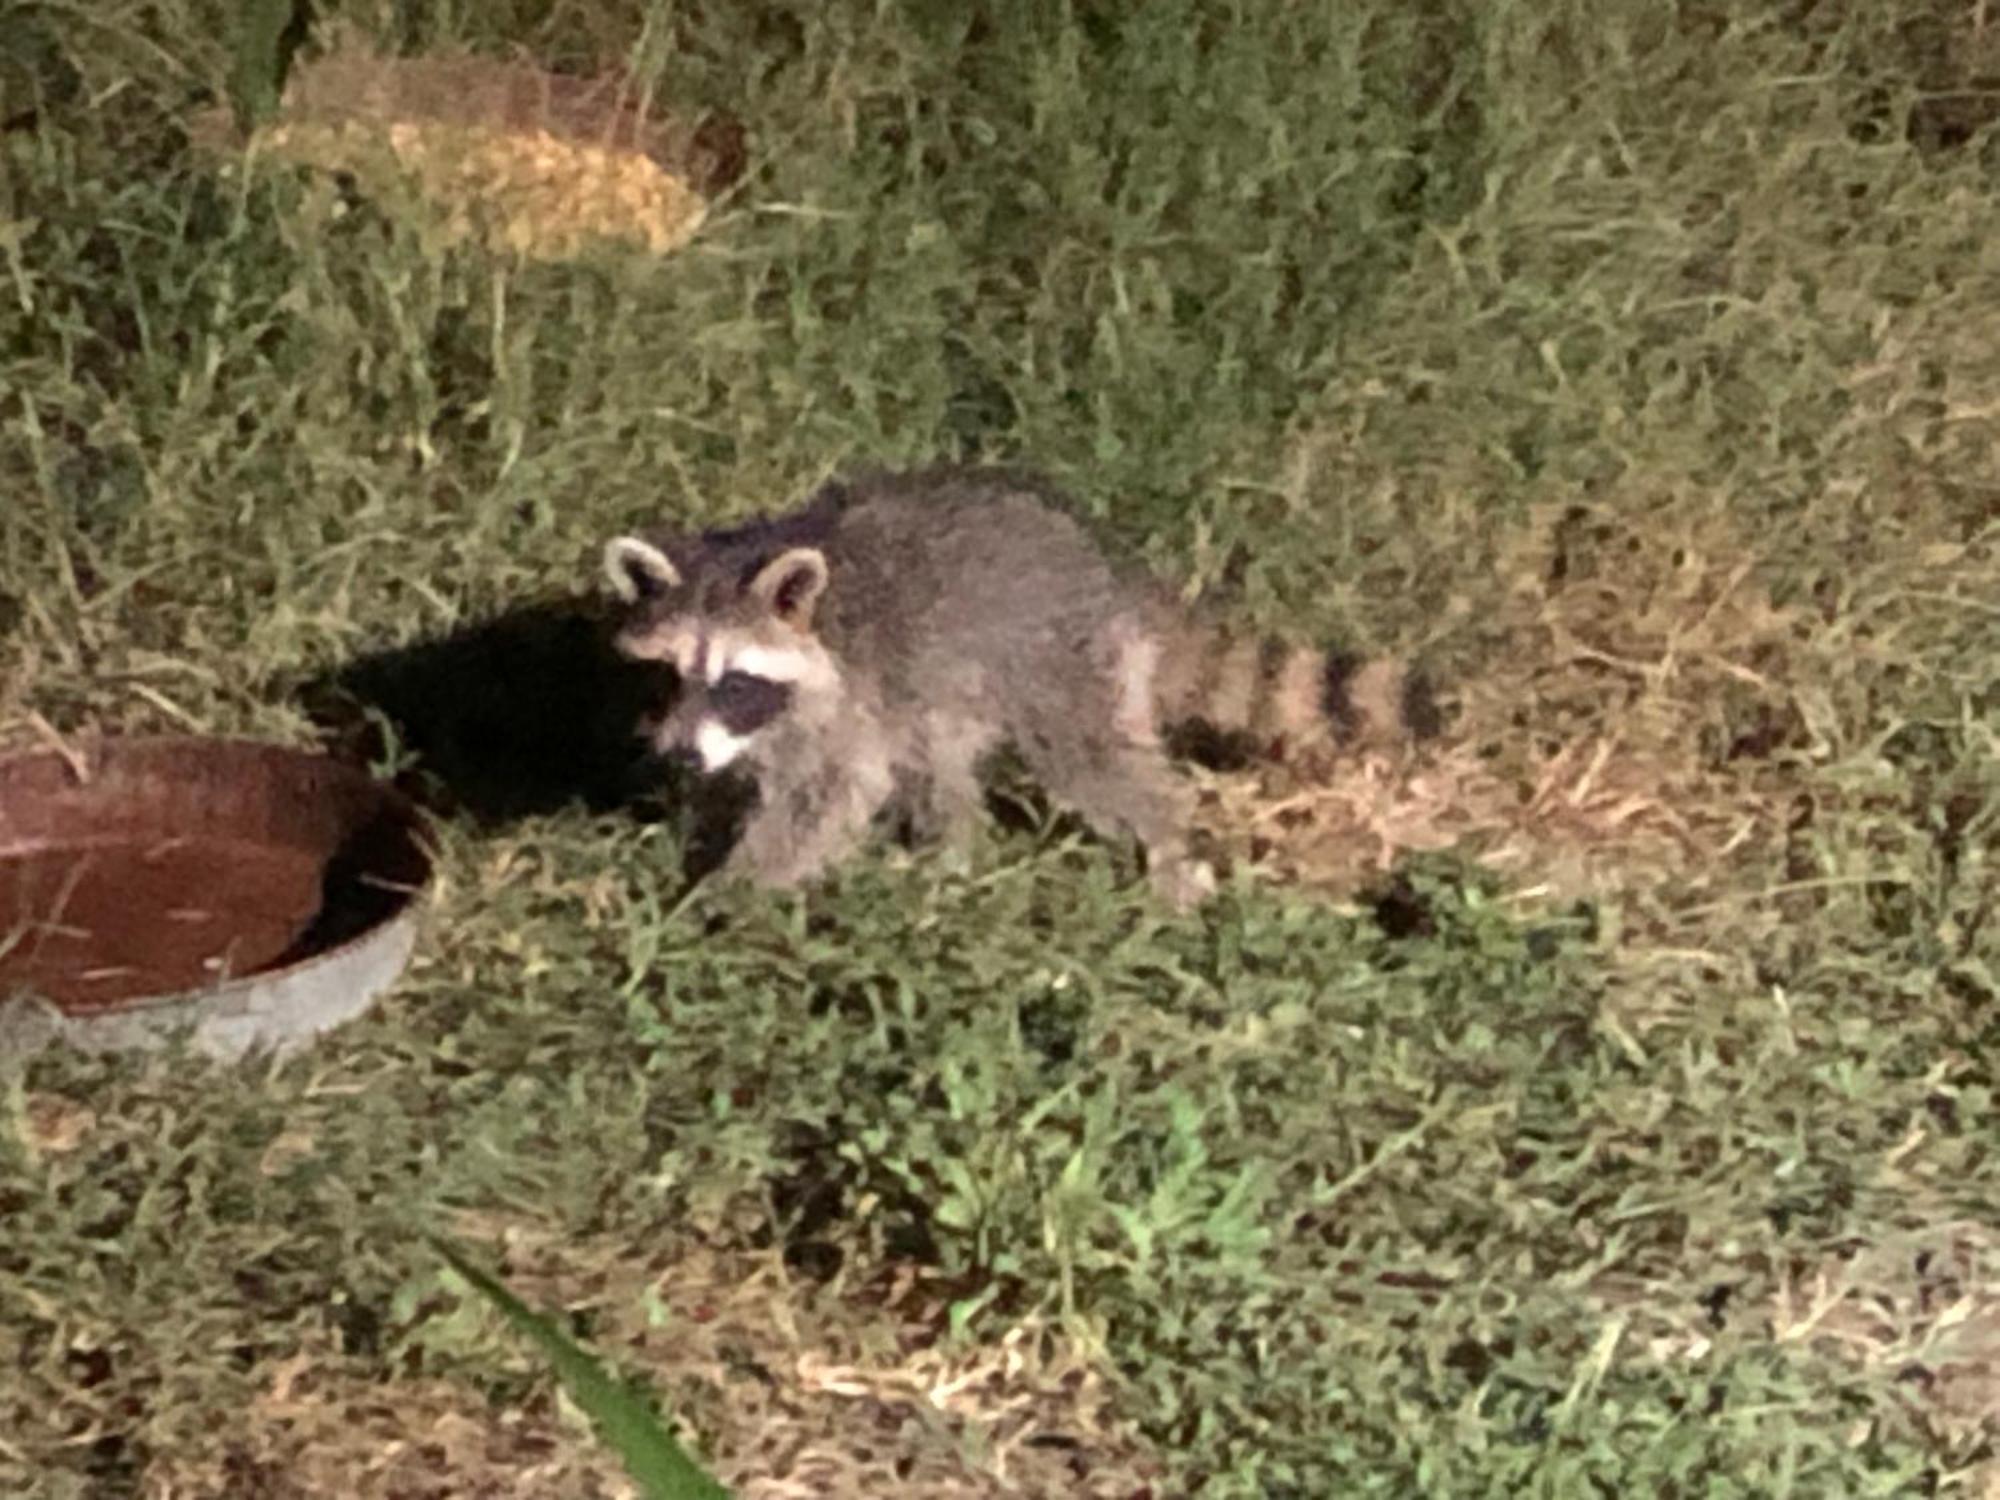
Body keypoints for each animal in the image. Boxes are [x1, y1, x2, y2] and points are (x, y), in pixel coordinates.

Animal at [600, 470, 1432, 912]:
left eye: (737, 681)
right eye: (669, 674)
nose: (680, 759)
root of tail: (1113, 574)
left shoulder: (842, 699)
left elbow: (825, 796)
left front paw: (728, 892)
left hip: (1057, 663)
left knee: (1092, 761)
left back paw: (1165, 844)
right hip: (948, 682)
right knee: (937, 763)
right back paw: (952, 860)